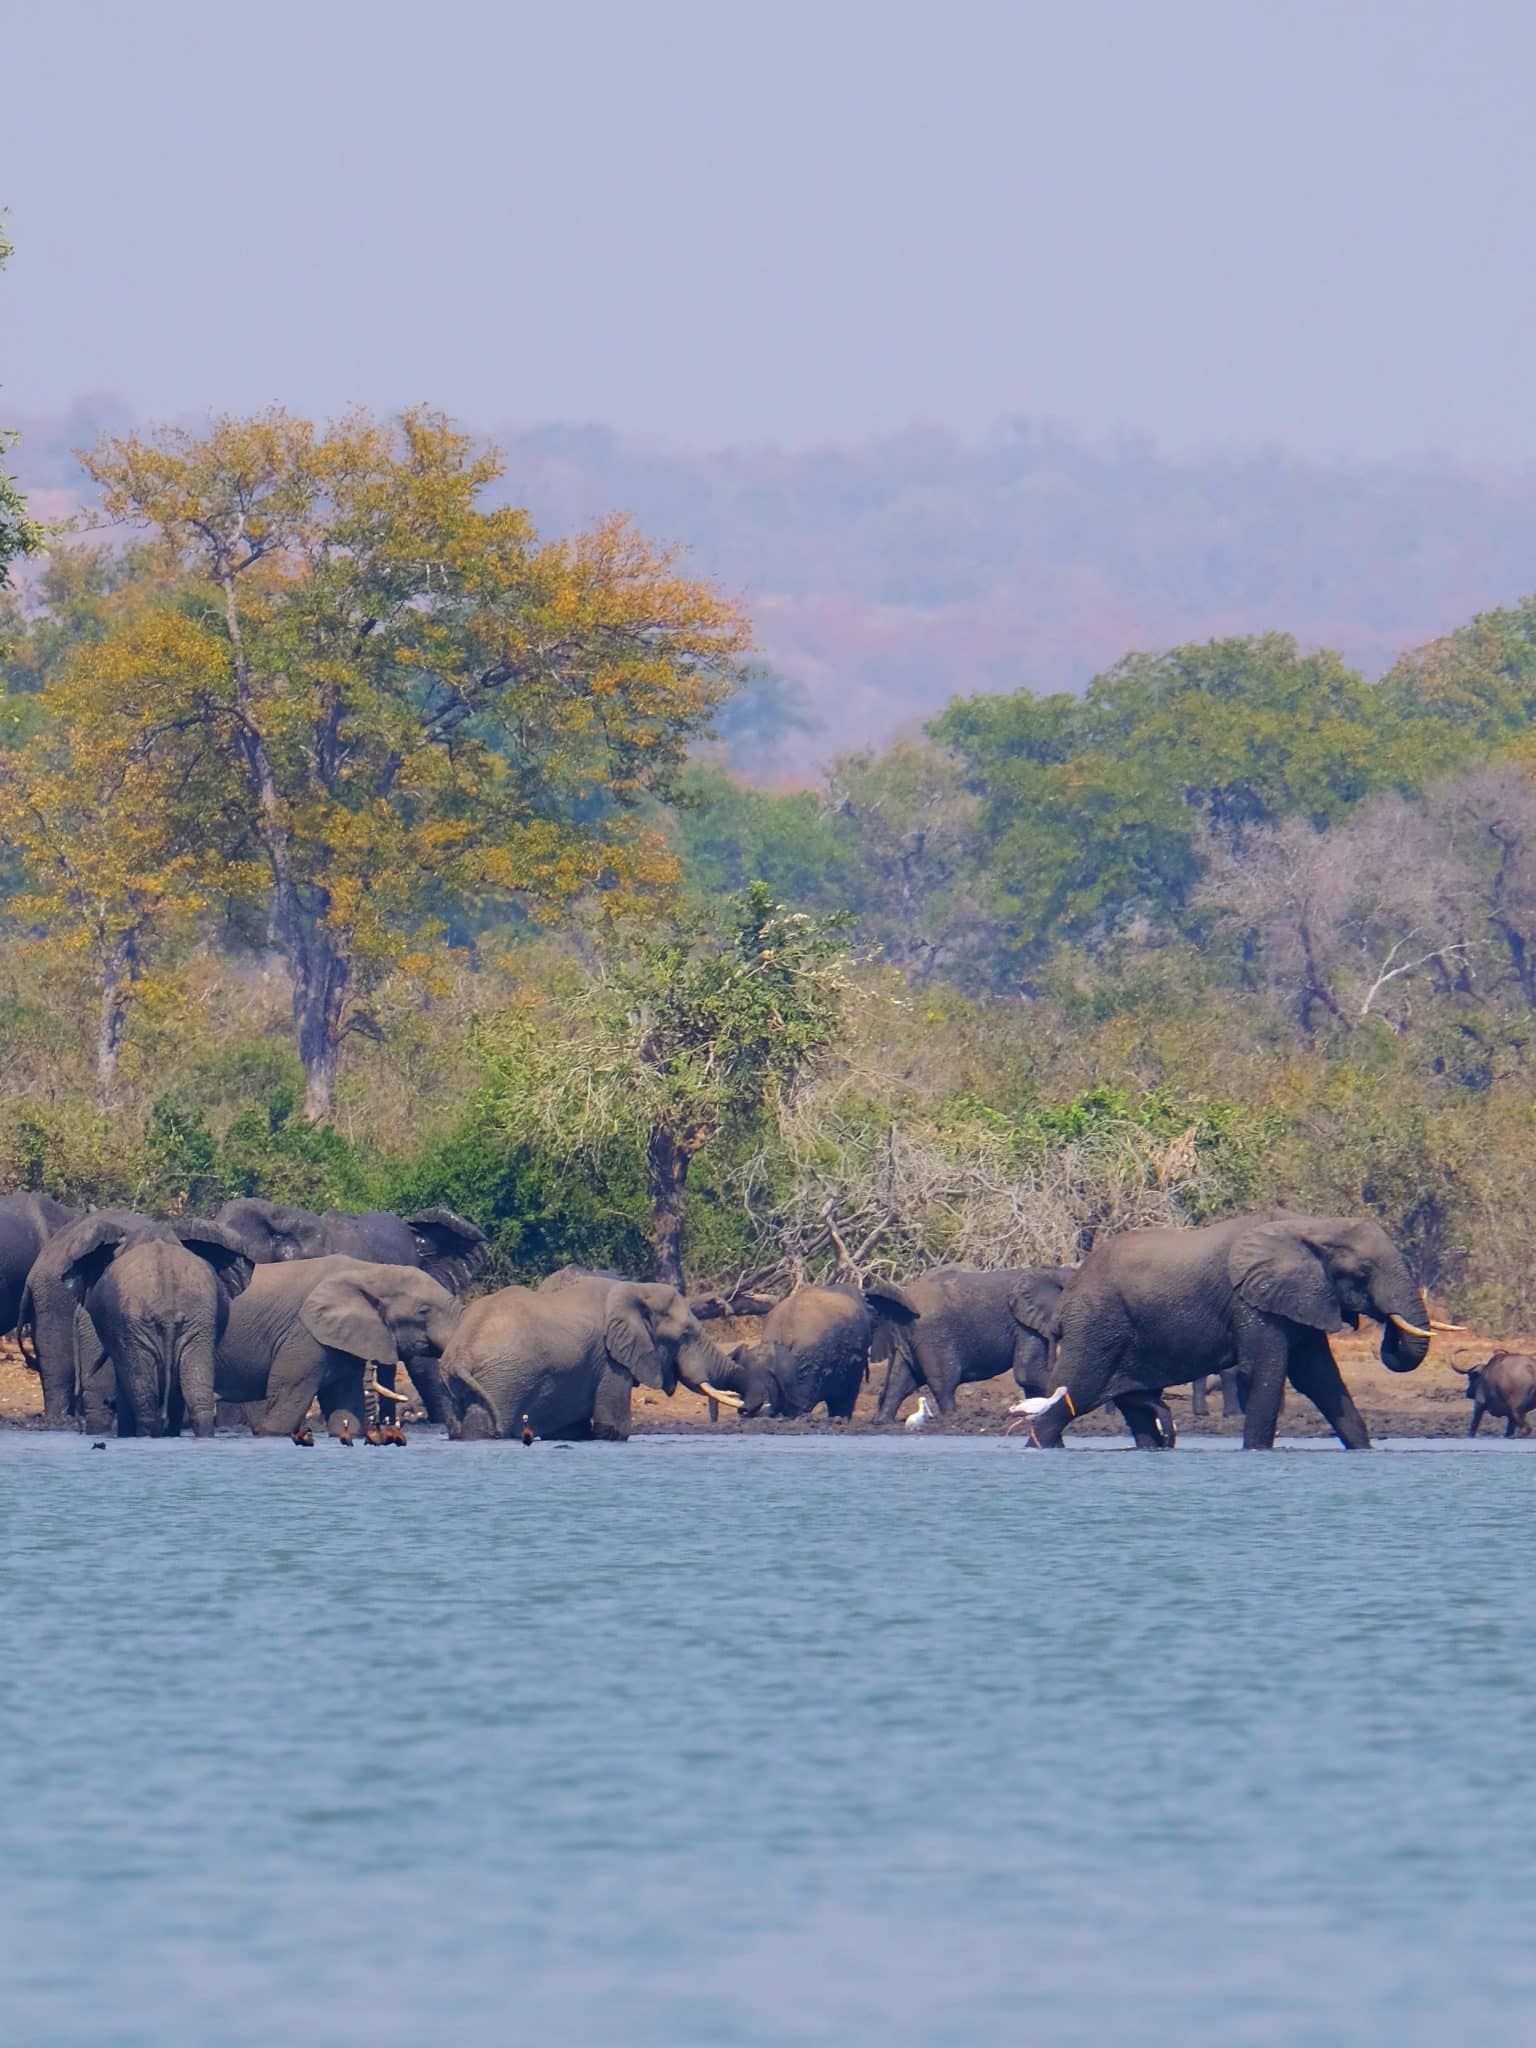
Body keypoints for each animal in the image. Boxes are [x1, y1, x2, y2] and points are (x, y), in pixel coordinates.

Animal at [438, 1277, 745, 1441]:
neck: (636, 1289)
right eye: (686, 1335)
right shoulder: (610, 1362)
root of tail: (459, 1353)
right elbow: (613, 1427)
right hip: (504, 1380)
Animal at [1024, 1212, 1458, 1458]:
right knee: (1072, 1394)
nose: (1384, 1324)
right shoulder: (1251, 1302)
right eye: (1364, 1272)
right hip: (1097, 1326)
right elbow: (1265, 1371)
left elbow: (1321, 1378)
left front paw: (1363, 1451)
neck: (1312, 1226)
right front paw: (1256, 1452)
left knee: (1135, 1406)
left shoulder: (1302, 1299)